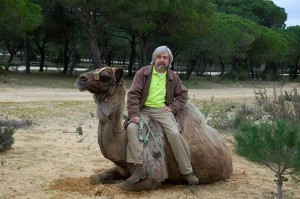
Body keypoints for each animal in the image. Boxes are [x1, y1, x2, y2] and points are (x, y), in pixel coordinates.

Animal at [76, 66, 233, 191]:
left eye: (105, 76)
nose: (81, 78)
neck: (123, 144)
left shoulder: (154, 177)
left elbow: (123, 186)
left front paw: (116, 183)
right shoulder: (122, 169)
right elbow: (94, 178)